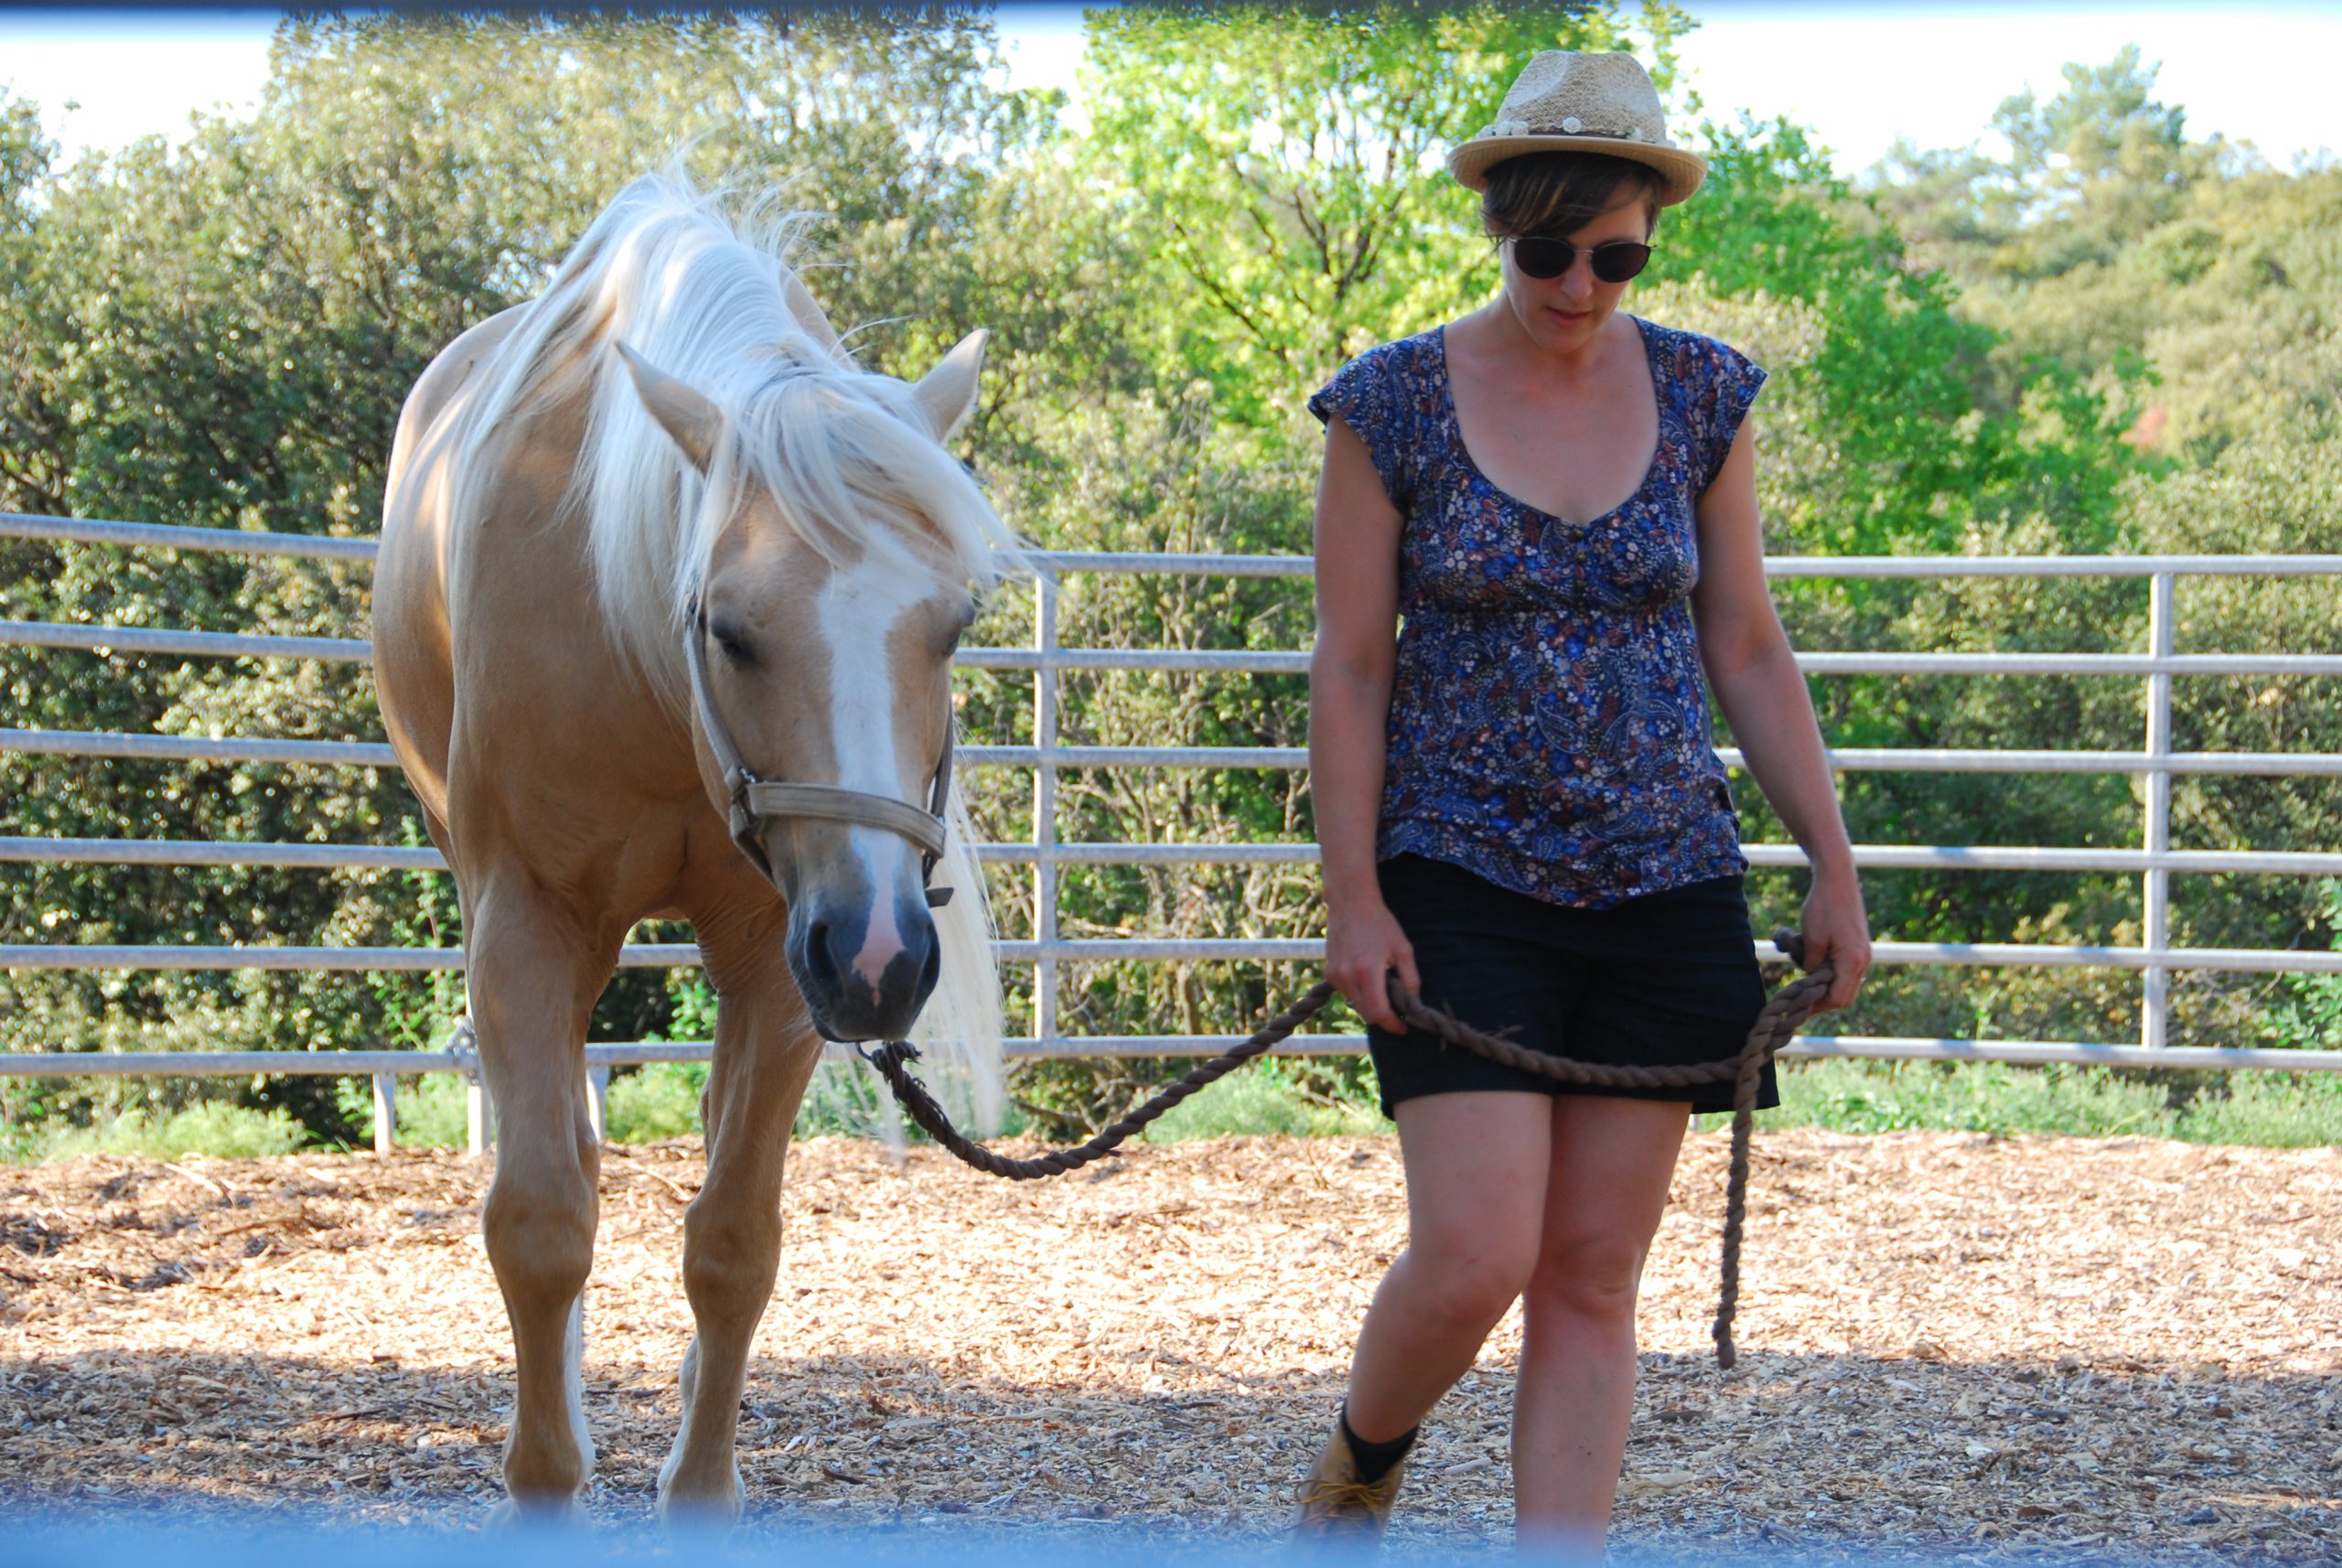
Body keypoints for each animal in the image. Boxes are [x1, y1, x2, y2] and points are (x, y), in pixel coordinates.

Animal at [370, 175, 1011, 1525]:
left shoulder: (779, 955)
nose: (882, 955)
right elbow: (540, 1222)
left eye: (954, 624)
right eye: (729, 626)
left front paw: (700, 1480)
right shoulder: (525, 925)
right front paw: (546, 1478)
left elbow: (733, 1240)